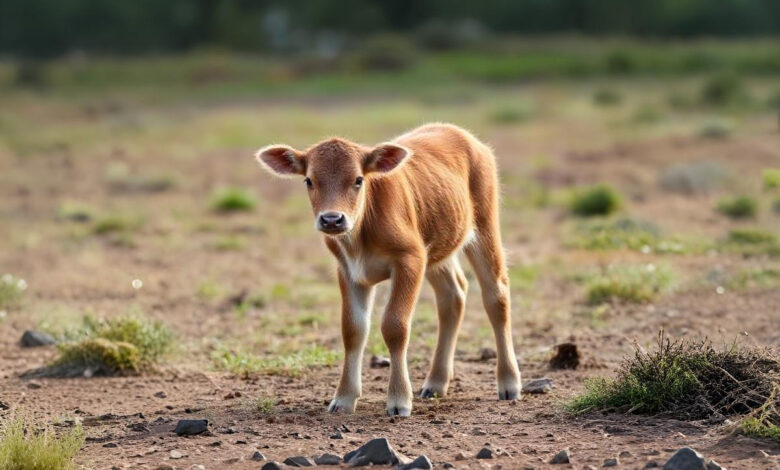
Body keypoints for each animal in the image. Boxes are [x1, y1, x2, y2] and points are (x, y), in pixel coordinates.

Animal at [255, 123, 522, 416]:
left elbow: (395, 325)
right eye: (309, 180)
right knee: (453, 295)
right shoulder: (348, 270)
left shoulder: (410, 259)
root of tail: (460, 133)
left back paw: (509, 383)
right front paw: (344, 399)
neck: (361, 235)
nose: (332, 219)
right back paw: (436, 383)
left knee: (496, 296)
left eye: (358, 180)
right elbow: (353, 329)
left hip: (484, 225)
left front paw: (399, 400)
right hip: (438, 246)